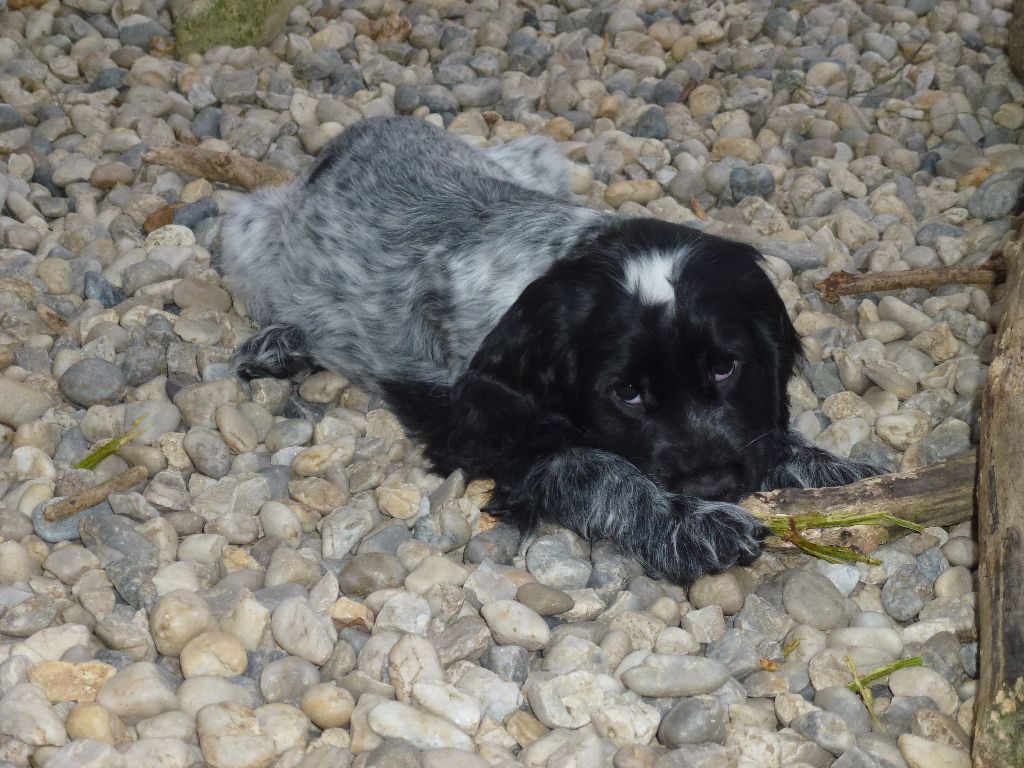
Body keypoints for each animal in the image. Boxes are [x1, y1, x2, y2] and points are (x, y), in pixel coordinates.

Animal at [218, 115, 880, 581]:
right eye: (627, 393)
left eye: (724, 368)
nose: (714, 484)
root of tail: (360, 132)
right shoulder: (484, 424)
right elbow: (597, 468)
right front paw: (689, 526)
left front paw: (831, 470)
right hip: (246, 229)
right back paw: (281, 342)